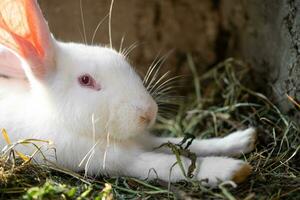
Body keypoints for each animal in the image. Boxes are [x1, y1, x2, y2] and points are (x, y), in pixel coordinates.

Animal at [0, 0, 256, 188]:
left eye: (119, 58)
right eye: (85, 80)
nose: (149, 112)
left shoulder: (145, 139)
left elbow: (183, 143)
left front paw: (244, 139)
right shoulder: (119, 160)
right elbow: (169, 164)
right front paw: (233, 170)